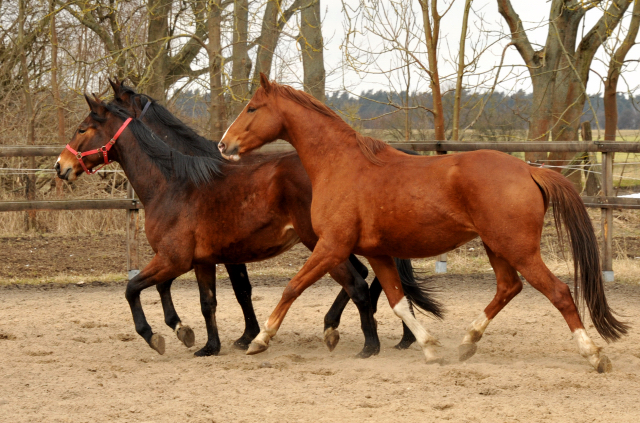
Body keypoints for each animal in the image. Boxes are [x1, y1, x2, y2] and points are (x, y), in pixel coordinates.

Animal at [57, 95, 442, 358]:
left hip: (323, 242)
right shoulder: (200, 261)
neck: (172, 184)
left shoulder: (173, 259)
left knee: (359, 282)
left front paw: (157, 336)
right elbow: (207, 301)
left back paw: (365, 341)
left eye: (82, 129)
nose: (61, 167)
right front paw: (204, 342)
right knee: (370, 280)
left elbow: (132, 288)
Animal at [218, 74, 628, 372]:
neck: (341, 165)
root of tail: (530, 169)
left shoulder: (332, 245)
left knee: (558, 292)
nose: (224, 144)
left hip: (518, 249)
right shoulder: (377, 253)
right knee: (508, 288)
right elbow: (399, 303)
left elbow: (292, 287)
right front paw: (430, 349)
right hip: (496, 246)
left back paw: (594, 355)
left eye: (252, 108)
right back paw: (467, 342)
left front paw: (260, 340)